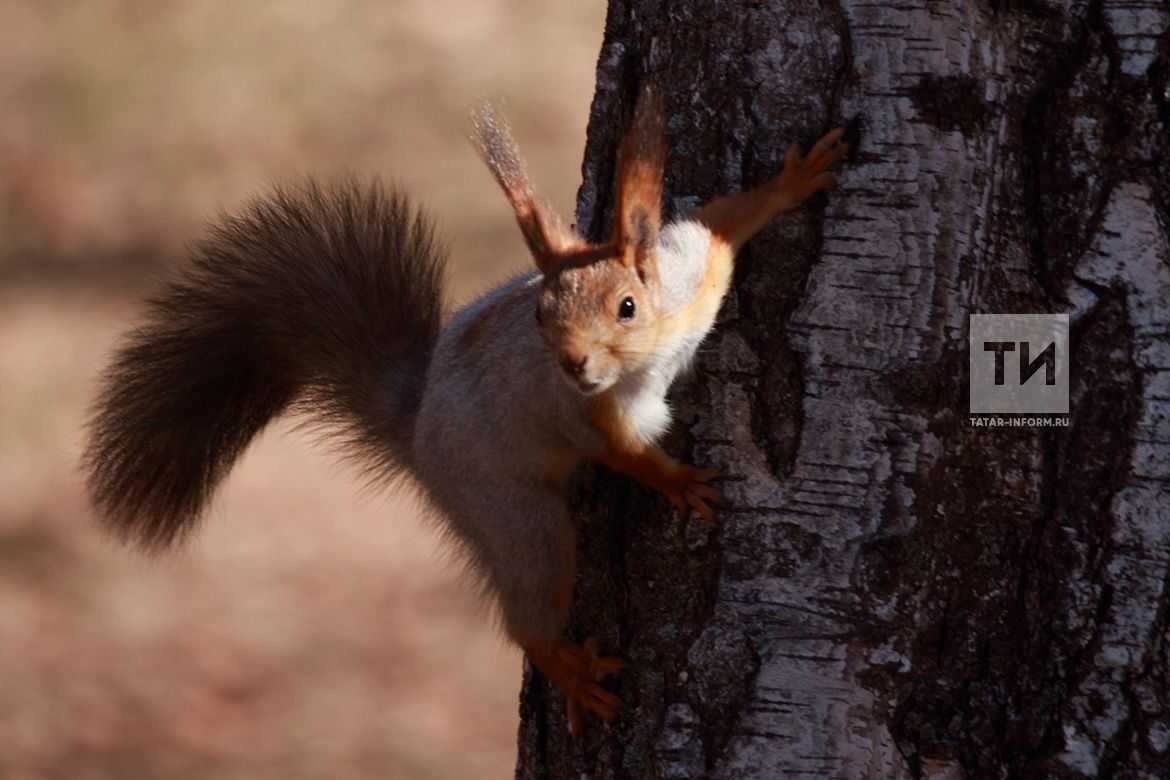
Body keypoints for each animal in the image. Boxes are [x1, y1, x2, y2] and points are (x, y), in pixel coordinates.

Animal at [84, 88, 851, 734]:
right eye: (540, 314)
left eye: (627, 306)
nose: (572, 364)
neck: (646, 359)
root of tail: (418, 432)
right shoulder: (590, 415)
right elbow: (626, 453)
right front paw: (680, 483)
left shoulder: (695, 273)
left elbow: (723, 225)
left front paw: (793, 181)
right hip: (513, 512)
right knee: (527, 611)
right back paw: (567, 669)